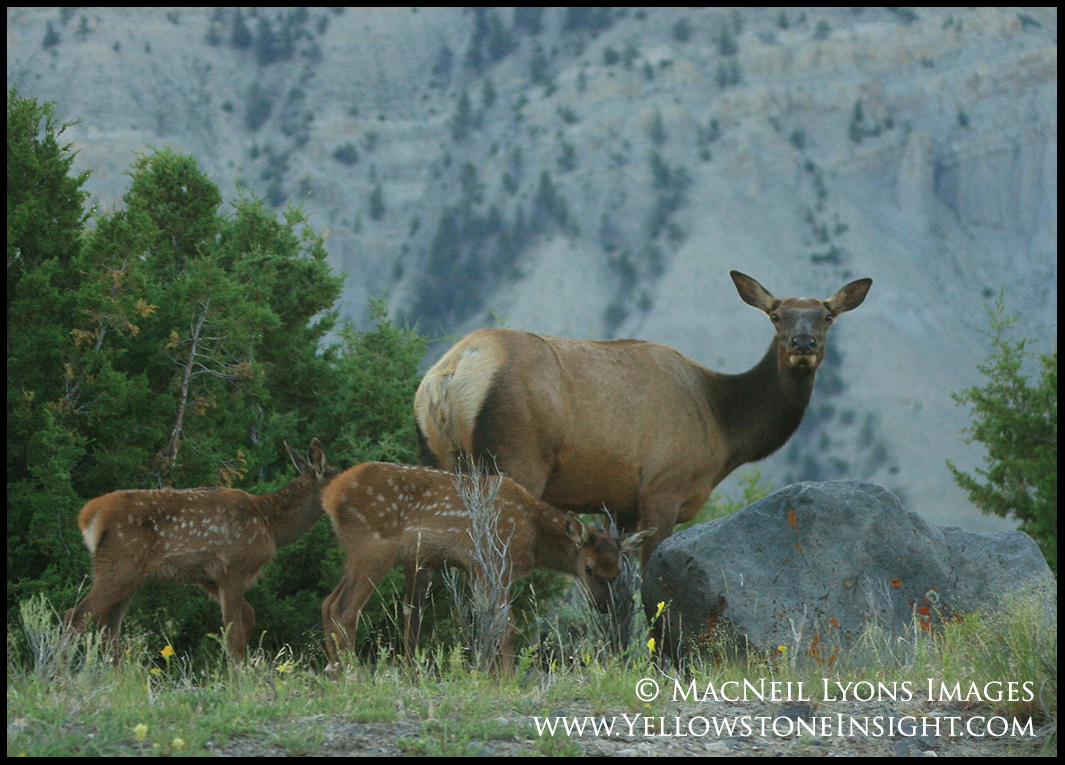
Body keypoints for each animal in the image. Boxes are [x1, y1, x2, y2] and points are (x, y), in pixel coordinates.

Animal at [63, 441, 336, 660]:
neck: (271, 525)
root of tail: (90, 515)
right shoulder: (234, 567)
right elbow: (234, 632)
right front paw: (238, 679)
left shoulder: (207, 577)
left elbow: (248, 617)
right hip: (119, 564)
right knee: (76, 616)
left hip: (130, 576)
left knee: (108, 627)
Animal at [319, 462, 651, 673]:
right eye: (589, 569)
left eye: (618, 571)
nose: (605, 606)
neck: (532, 537)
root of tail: (331, 495)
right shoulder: (496, 562)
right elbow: (507, 625)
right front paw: (504, 679)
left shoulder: (478, 570)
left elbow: (488, 621)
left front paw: (488, 673)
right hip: (373, 549)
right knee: (345, 610)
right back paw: (351, 673)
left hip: (355, 552)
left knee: (328, 602)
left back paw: (334, 670)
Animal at [411, 269, 869, 571]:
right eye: (776, 316)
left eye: (827, 316)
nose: (803, 343)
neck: (722, 429)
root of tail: (450, 374)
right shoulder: (662, 486)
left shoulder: (621, 501)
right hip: (515, 456)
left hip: (434, 455)